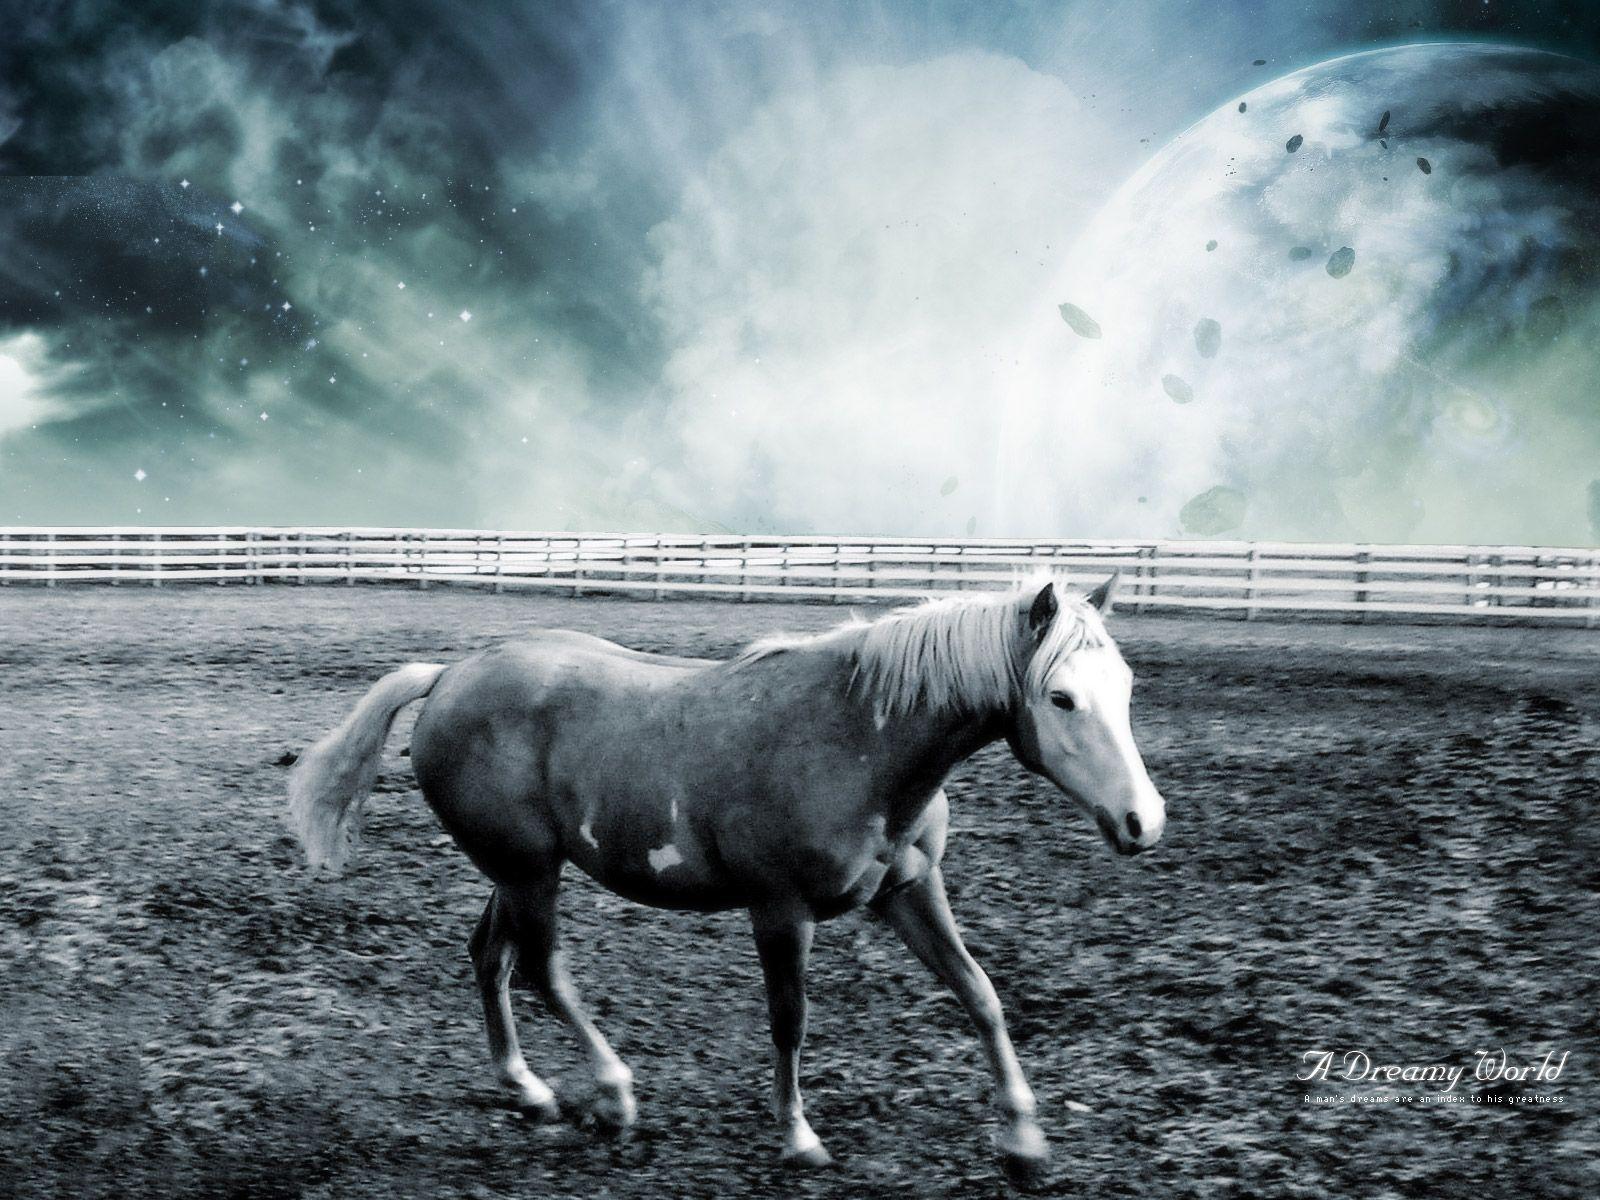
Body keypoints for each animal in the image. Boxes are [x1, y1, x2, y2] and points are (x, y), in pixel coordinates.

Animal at [287, 573, 1165, 1179]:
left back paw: (528, 1088)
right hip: (528, 870)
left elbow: (981, 996)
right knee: (540, 967)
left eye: (1126, 688)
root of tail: (447, 678)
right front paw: (799, 1138)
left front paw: (1023, 1140)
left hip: (514, 871)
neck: (858, 740)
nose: (1143, 822)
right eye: (1062, 698)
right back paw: (613, 1095)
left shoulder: (910, 893)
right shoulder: (780, 911)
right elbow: (790, 1021)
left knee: (490, 957)